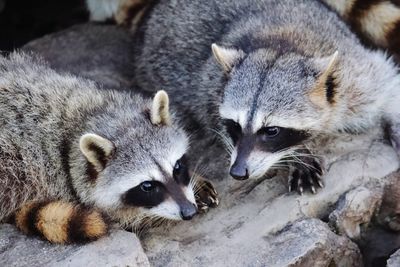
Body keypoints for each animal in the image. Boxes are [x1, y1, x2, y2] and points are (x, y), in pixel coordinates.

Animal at [0, 52, 217, 245]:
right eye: (147, 186)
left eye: (177, 167)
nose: (189, 212)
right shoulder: (47, 173)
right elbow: (118, 216)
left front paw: (196, 180)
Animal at [131, 0, 400, 194]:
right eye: (235, 125)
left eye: (271, 131)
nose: (238, 172)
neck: (279, 46)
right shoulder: (208, 89)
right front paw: (299, 154)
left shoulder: (353, 75)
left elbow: (387, 82)